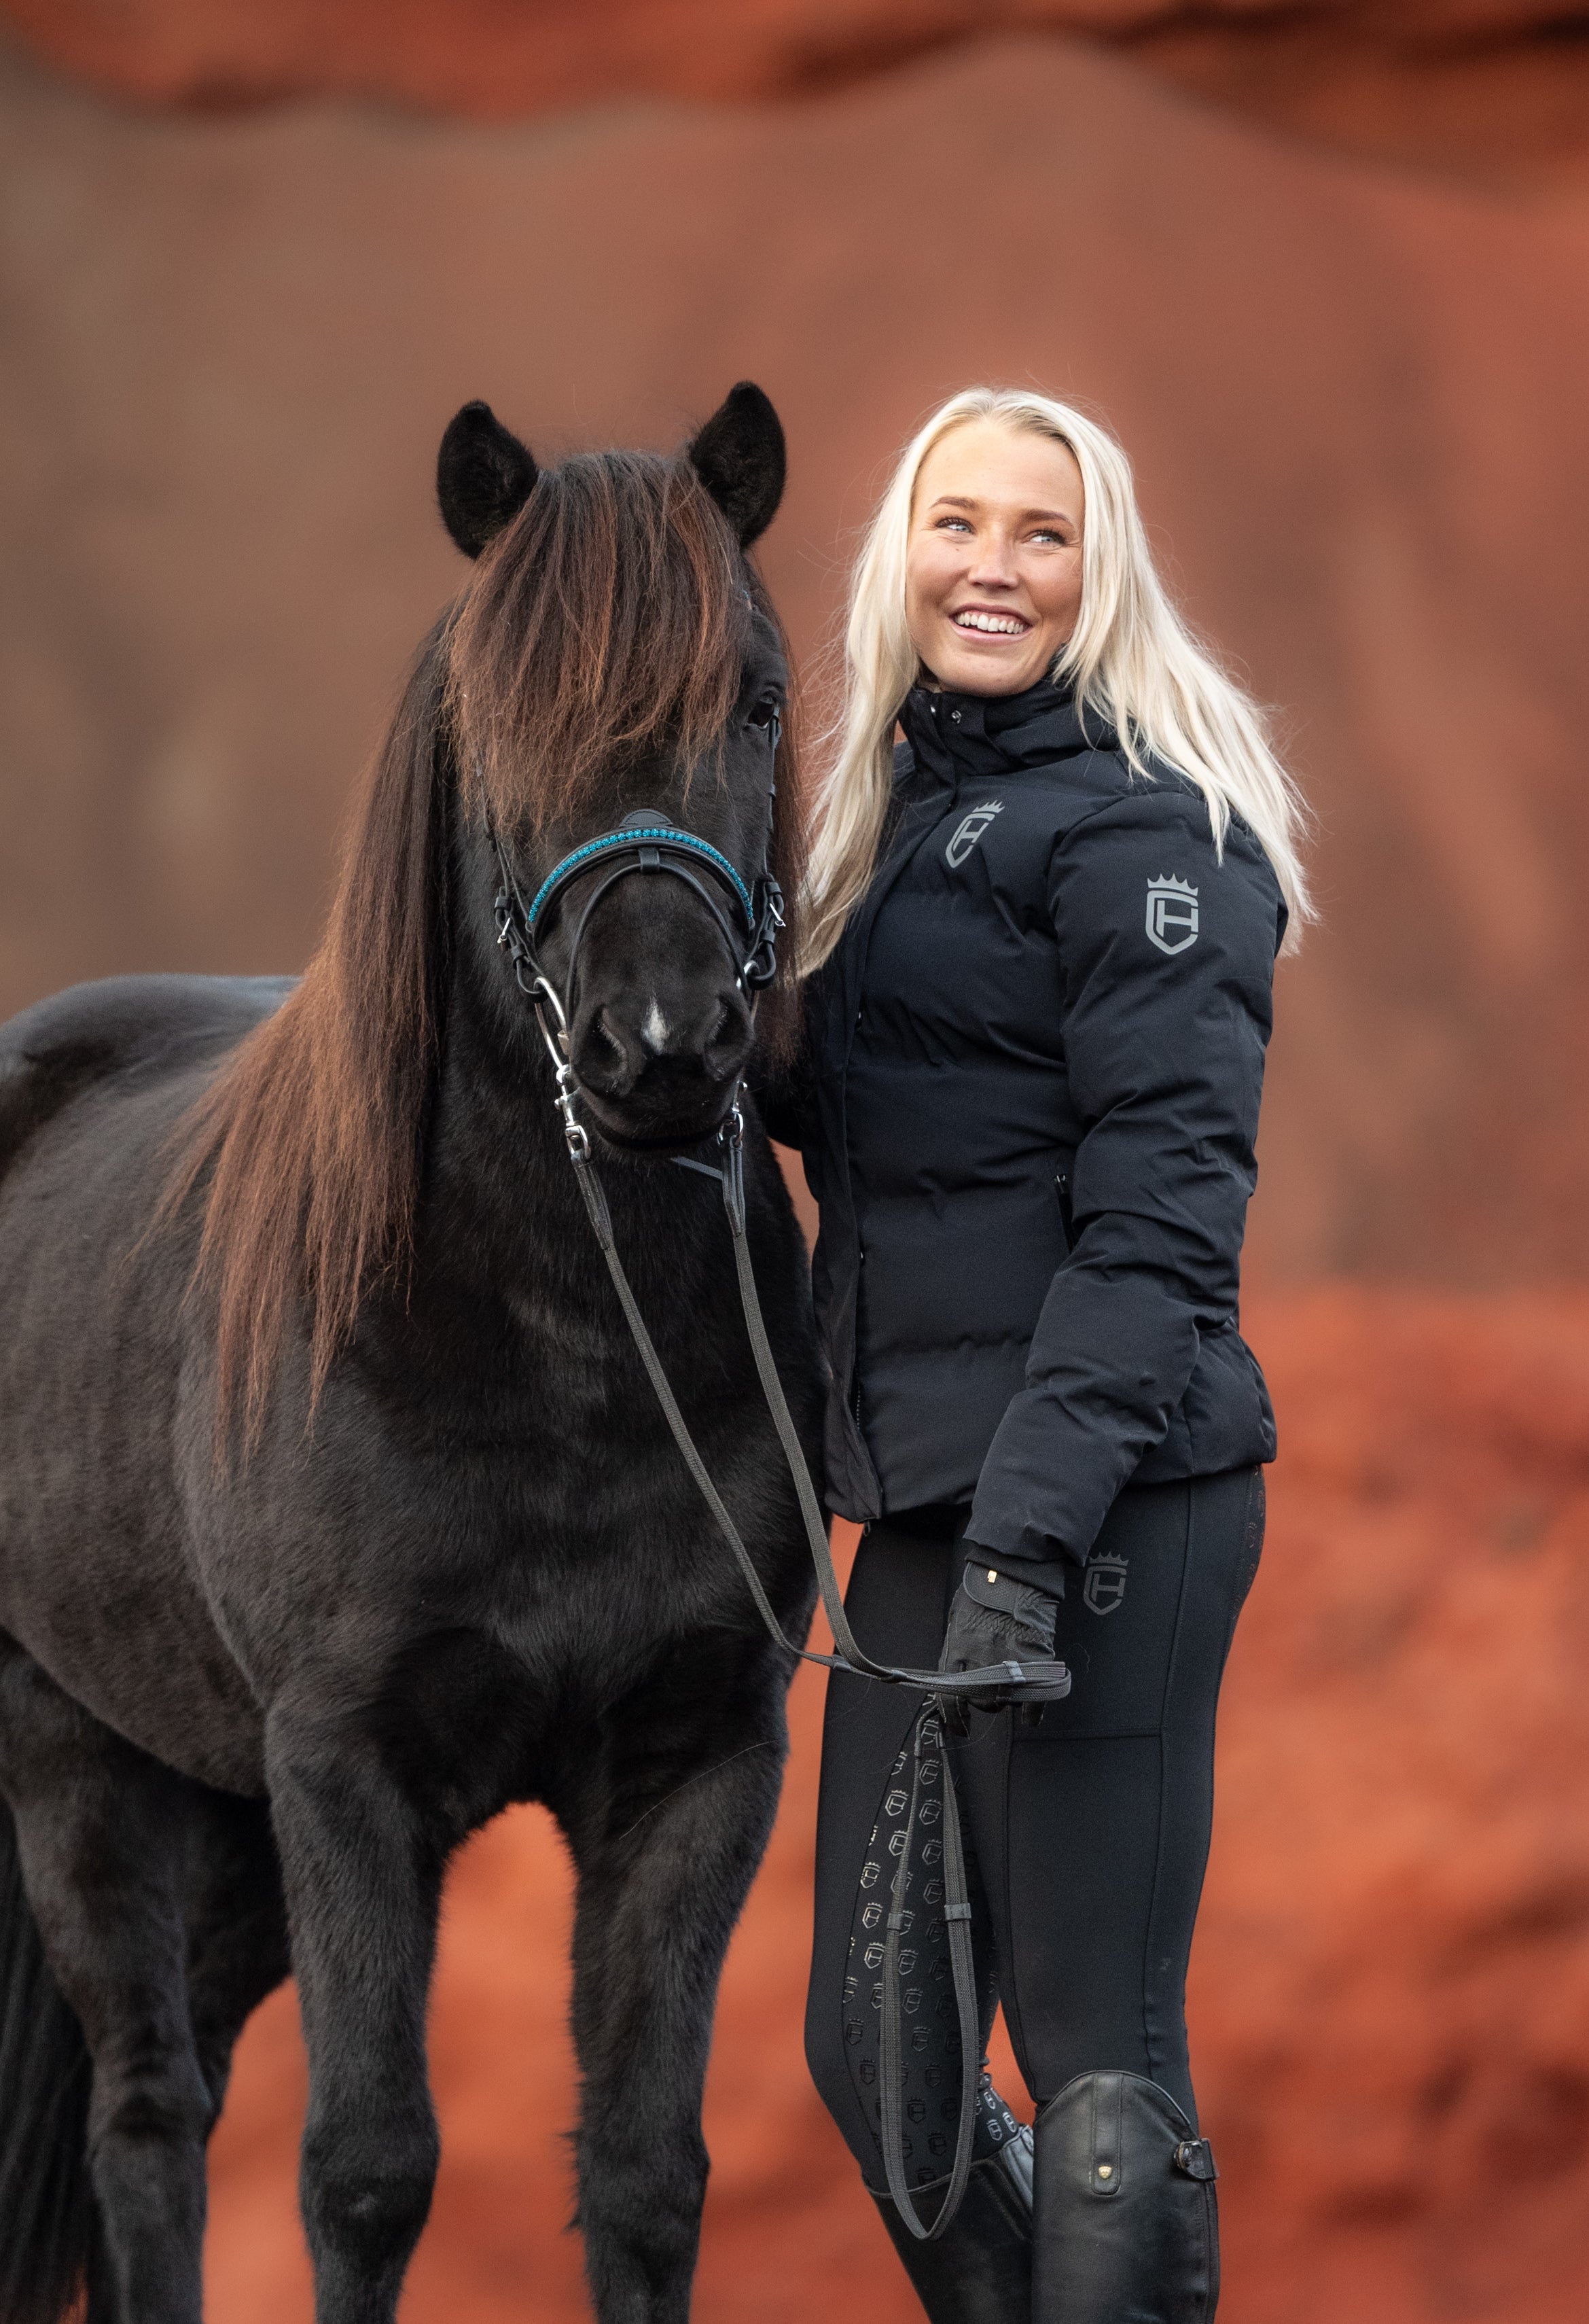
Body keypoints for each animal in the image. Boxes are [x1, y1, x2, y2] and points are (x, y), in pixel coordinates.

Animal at [0, 383, 823, 2324]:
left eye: (756, 696)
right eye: (493, 719)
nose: (660, 1038)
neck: (569, 1348)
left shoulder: (699, 1763)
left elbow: (643, 2175)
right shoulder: (347, 1771)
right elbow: (369, 2173)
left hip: (211, 1806)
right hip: (78, 1767)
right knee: (148, 2123)